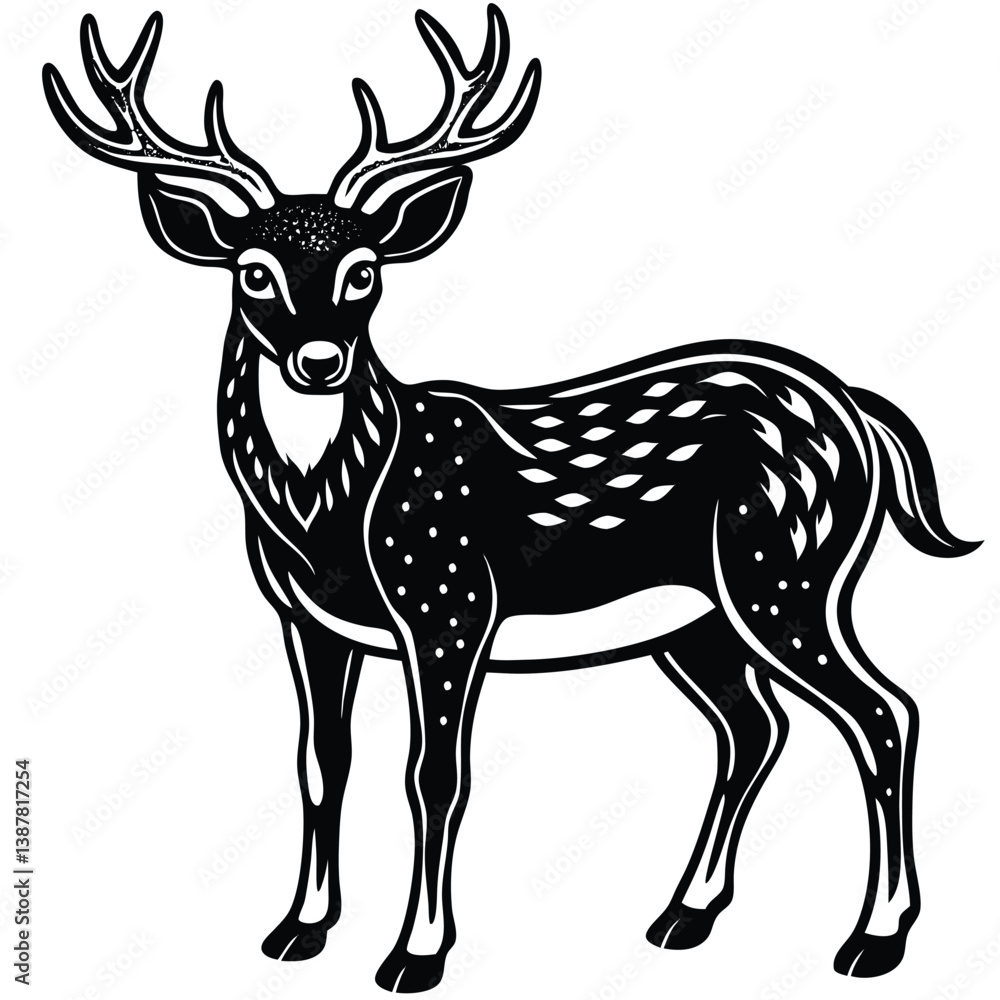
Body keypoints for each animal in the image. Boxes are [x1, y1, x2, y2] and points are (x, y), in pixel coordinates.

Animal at [44, 6, 979, 992]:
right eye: (252, 270)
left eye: (365, 270)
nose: (319, 359)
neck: (329, 512)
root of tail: (858, 412)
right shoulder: (302, 616)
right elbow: (321, 763)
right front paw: (299, 929)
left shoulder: (448, 598)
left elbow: (434, 773)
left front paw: (415, 953)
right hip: (701, 617)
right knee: (756, 727)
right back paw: (685, 915)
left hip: (789, 567)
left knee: (885, 712)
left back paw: (874, 938)